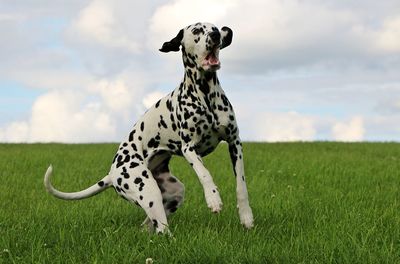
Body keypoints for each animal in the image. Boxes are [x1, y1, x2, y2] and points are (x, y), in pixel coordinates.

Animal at [43, 22, 253, 233]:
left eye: (214, 27)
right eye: (196, 31)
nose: (217, 34)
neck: (206, 94)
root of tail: (111, 174)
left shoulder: (235, 143)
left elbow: (241, 185)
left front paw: (246, 216)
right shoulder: (189, 148)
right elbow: (204, 173)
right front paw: (213, 198)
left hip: (173, 193)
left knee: (151, 224)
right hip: (147, 189)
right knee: (161, 228)